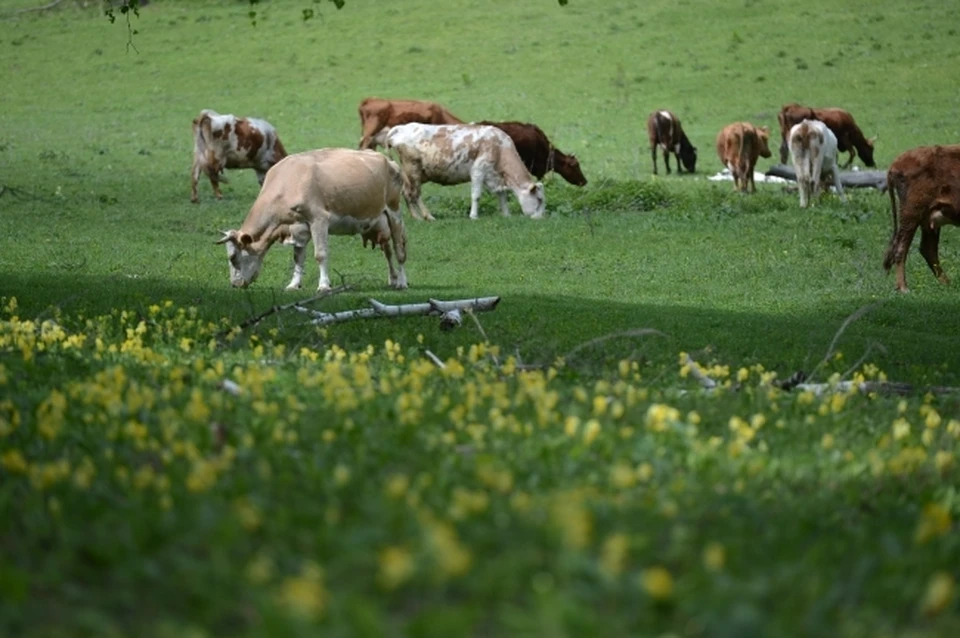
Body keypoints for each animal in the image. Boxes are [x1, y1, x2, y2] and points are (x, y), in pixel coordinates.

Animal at [218, 149, 408, 292]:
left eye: (233, 257)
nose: (234, 284)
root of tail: (389, 160)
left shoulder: (319, 219)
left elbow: (320, 254)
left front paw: (323, 285)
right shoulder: (298, 227)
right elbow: (298, 257)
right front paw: (294, 284)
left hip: (394, 211)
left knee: (399, 249)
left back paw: (402, 282)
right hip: (380, 224)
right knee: (387, 250)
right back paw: (392, 279)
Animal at [384, 122, 548, 222]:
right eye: (539, 199)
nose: (540, 218)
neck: (500, 146)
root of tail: (400, 128)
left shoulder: (494, 177)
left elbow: (502, 195)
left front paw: (506, 215)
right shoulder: (478, 170)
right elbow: (476, 196)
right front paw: (474, 216)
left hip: (410, 174)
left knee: (406, 192)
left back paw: (416, 217)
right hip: (413, 169)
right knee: (415, 194)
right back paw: (428, 216)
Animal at [880, 144, 960, 292]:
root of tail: (896, 163)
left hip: (927, 220)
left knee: (928, 249)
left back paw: (947, 284)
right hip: (911, 213)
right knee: (901, 248)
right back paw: (903, 288)